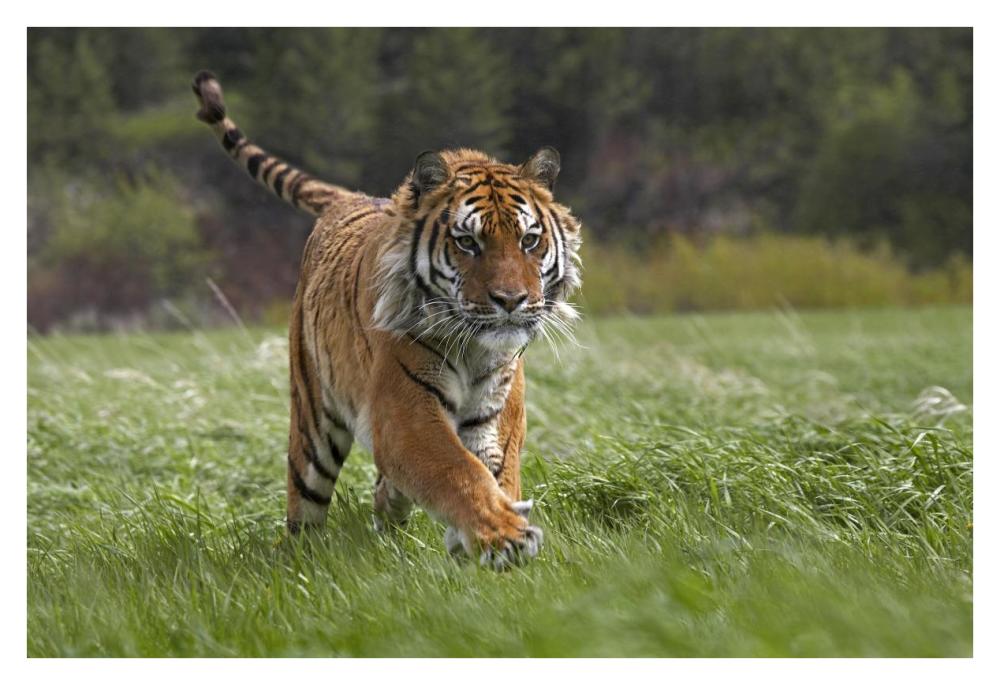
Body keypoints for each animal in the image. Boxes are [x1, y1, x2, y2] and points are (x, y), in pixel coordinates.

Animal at [192, 70, 582, 569]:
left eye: (529, 240)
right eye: (468, 242)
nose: (510, 300)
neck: (475, 348)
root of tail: (350, 198)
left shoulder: (497, 414)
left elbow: (492, 472)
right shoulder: (405, 412)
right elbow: (459, 471)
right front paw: (504, 535)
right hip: (312, 422)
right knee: (305, 506)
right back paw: (300, 559)